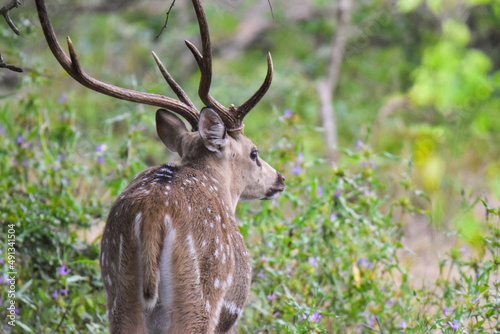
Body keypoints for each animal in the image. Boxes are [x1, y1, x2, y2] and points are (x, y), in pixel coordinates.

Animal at [34, 0, 286, 332]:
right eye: (254, 153)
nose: (280, 179)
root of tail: (154, 212)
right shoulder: (230, 313)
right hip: (199, 294)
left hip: (118, 286)